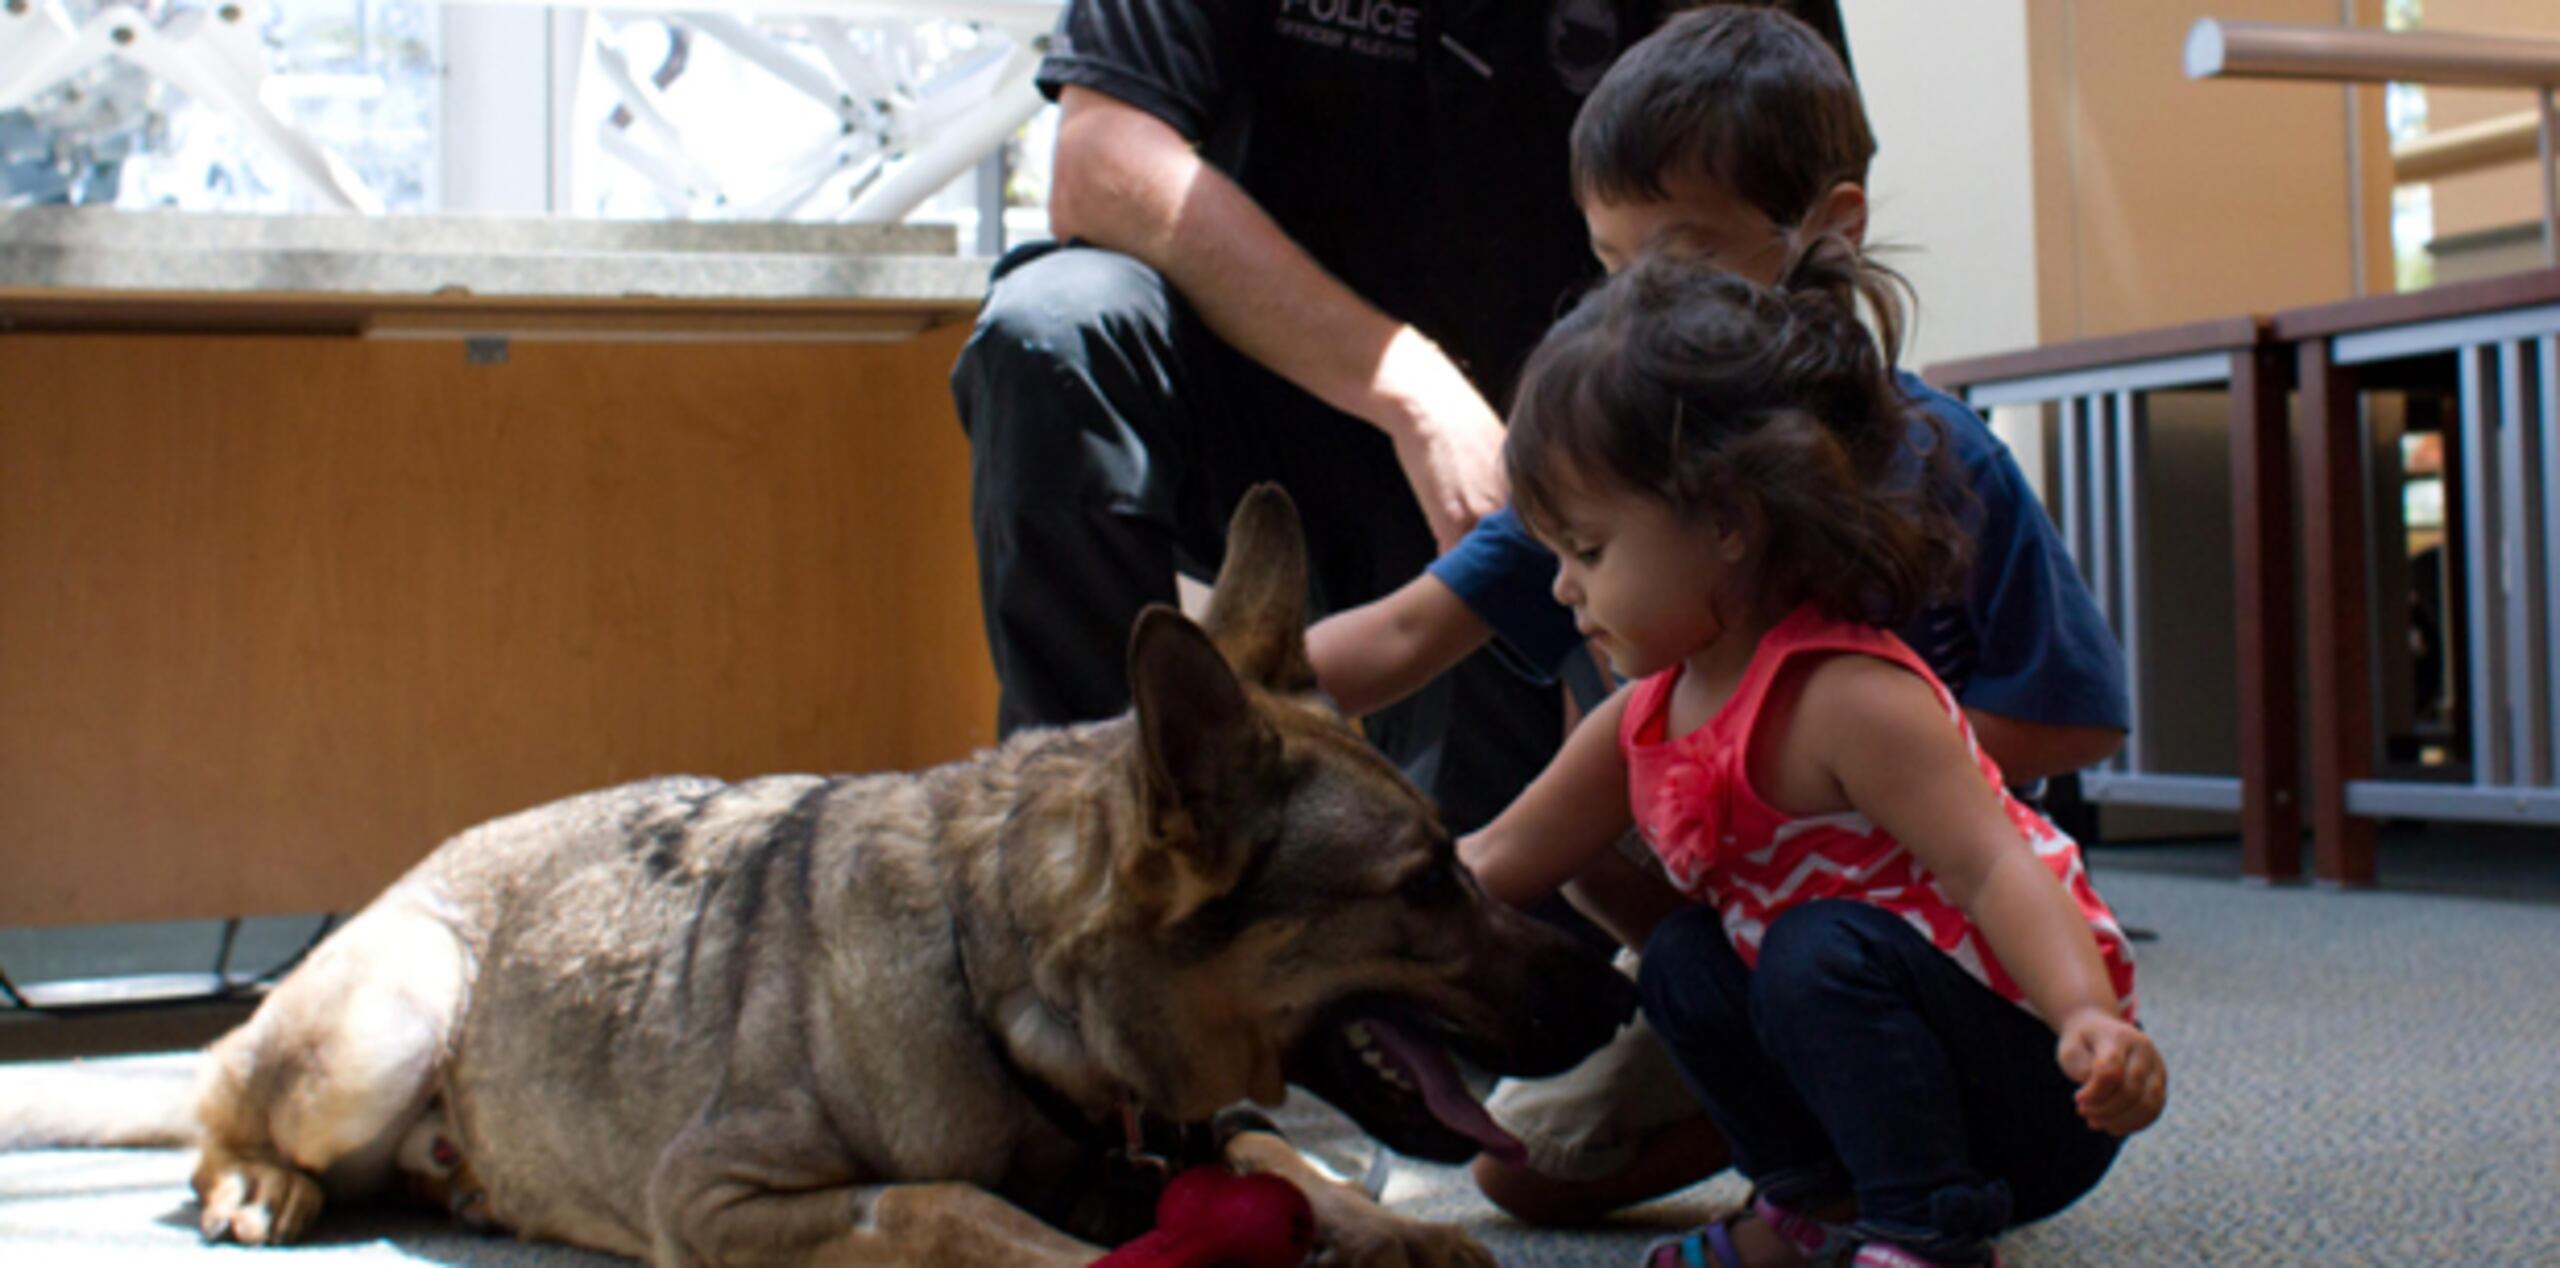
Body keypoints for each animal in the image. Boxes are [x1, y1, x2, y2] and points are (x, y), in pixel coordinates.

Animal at [0, 489, 1628, 1268]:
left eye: (1457, 856)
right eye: (1424, 883)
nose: (1620, 991)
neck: (1000, 990)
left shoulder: (1201, 1124)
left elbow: (1286, 1157)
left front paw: (1397, 1226)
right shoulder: (719, 1196)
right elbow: (941, 1208)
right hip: (385, 1016)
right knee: (217, 1117)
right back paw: (259, 1178)